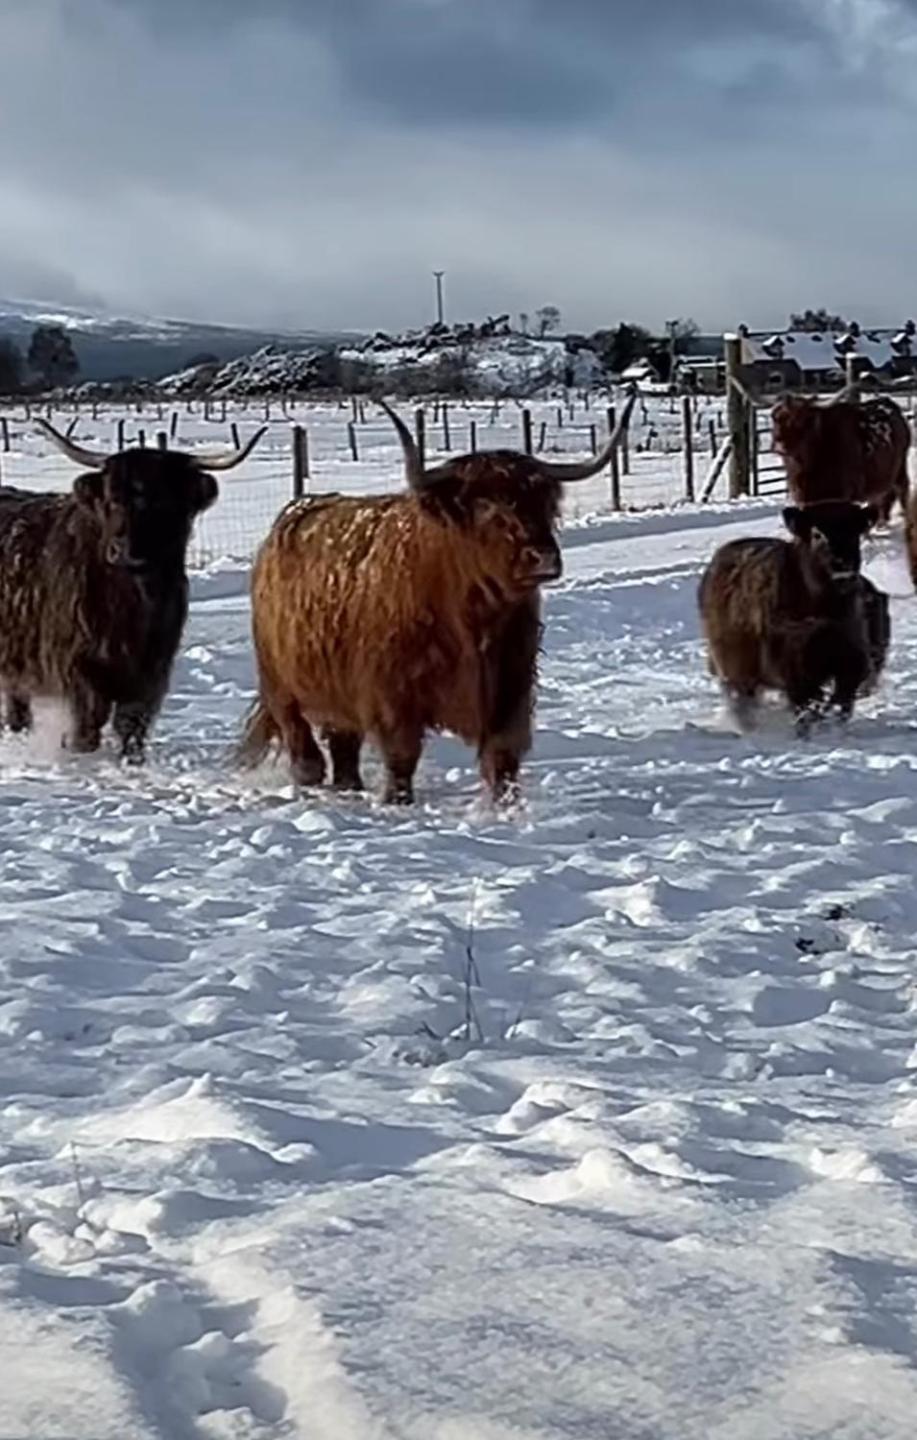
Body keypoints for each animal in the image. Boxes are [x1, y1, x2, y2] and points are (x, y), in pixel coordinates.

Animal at [0, 420, 264, 760]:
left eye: (163, 502)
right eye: (112, 498)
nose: (124, 551)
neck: (131, 602)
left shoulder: (152, 669)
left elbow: (132, 724)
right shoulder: (78, 665)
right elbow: (88, 723)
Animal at [238, 394, 633, 806]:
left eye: (544, 503)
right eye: (485, 504)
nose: (543, 557)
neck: (473, 617)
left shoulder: (511, 688)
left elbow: (502, 758)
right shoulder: (392, 696)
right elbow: (402, 756)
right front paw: (397, 802)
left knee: (343, 751)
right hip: (281, 686)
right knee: (305, 750)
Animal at [696, 504, 881, 731]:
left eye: (856, 531)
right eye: (817, 533)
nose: (842, 563)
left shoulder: (850, 660)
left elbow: (841, 701)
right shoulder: (792, 668)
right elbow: (807, 706)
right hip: (734, 668)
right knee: (742, 703)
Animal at [771, 394, 909, 524]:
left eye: (801, 419)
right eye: (776, 418)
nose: (779, 445)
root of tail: (887, 402)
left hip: (900, 469)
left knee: (901, 491)